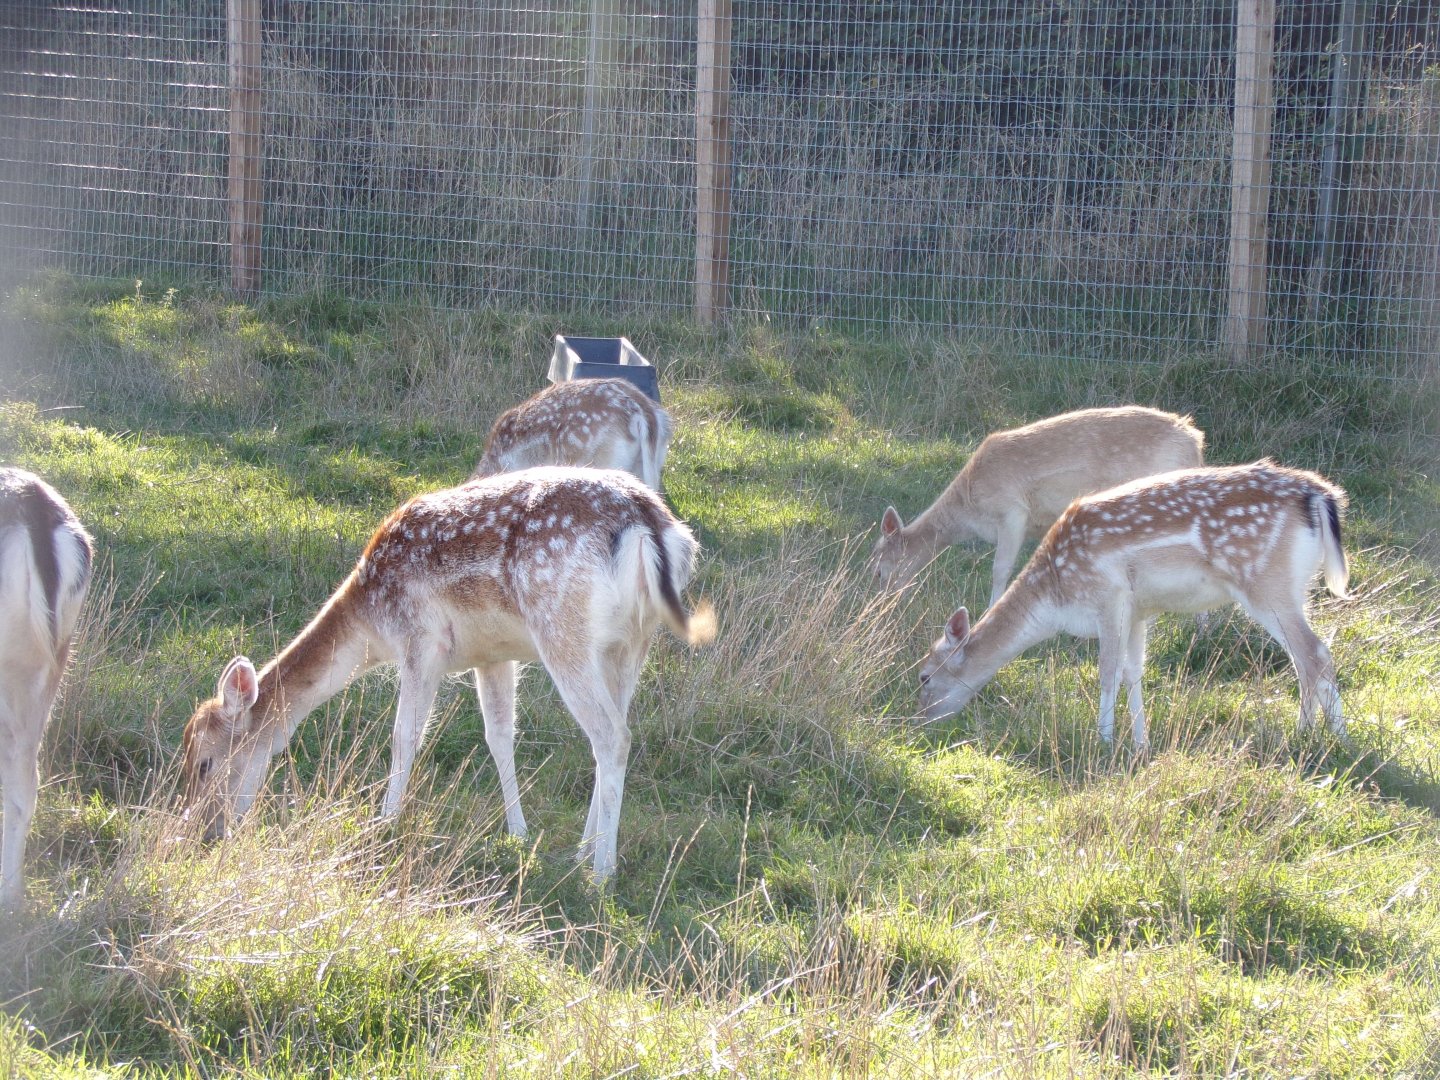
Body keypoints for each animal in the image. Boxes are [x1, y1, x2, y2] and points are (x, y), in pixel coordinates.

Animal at [181, 466, 714, 883]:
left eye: (204, 762)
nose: (202, 830)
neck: (372, 622)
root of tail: (651, 528)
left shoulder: (421, 641)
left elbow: (404, 736)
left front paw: (383, 822)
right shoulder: (492, 654)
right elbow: (499, 736)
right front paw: (518, 834)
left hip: (564, 627)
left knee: (612, 736)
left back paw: (602, 870)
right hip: (630, 642)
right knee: (612, 731)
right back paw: (583, 850)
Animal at [870, 406, 1205, 607]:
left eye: (877, 570)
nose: (881, 603)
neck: (969, 512)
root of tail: (1195, 442)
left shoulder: (1011, 509)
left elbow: (1000, 568)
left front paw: (989, 610)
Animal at [917, 461, 1349, 752]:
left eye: (923, 676)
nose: (921, 721)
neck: (1055, 598)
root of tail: (1320, 496)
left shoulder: (1109, 597)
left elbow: (1107, 671)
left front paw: (1104, 741)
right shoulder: (1140, 611)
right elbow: (1133, 672)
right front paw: (1141, 743)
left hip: (1265, 582)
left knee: (1314, 652)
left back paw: (1327, 738)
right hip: (1297, 587)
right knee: (1303, 658)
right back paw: (1316, 732)